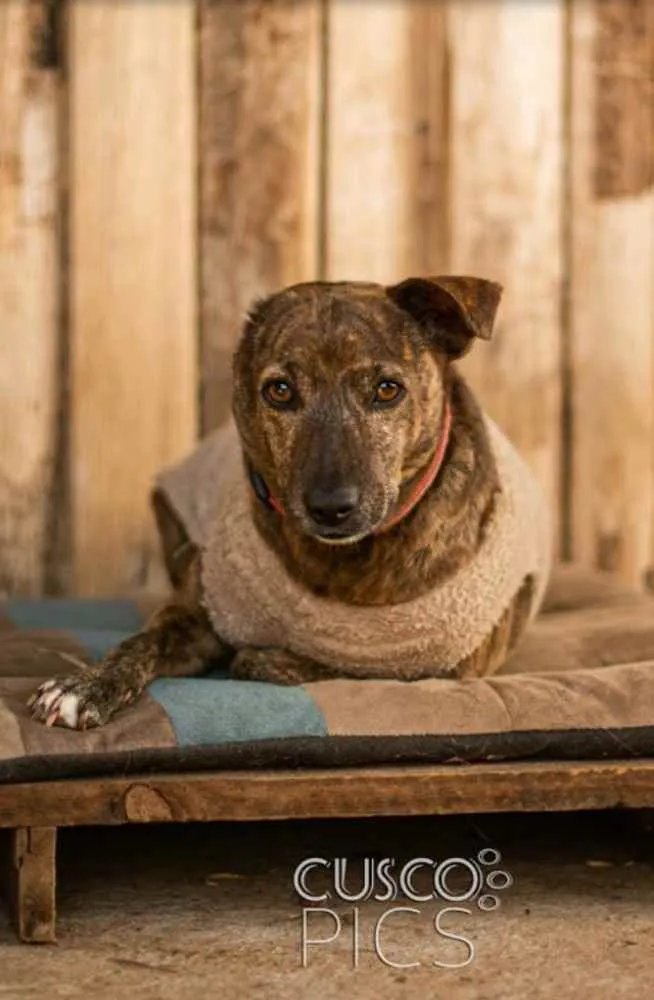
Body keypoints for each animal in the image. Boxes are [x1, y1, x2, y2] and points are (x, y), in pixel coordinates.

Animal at [28, 274, 544, 728]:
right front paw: (86, 685)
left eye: (387, 389)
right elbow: (140, 641)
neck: (343, 563)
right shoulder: (194, 613)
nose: (332, 506)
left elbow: (340, 667)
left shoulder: (444, 669)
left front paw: (264, 658)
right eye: (280, 391)